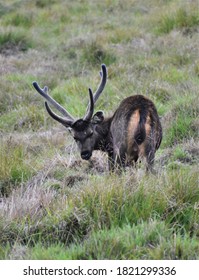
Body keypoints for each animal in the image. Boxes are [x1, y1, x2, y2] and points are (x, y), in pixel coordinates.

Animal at [32, 64, 162, 172]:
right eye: (74, 137)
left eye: (90, 132)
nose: (84, 154)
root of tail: (141, 110)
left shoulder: (112, 152)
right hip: (150, 146)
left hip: (122, 148)